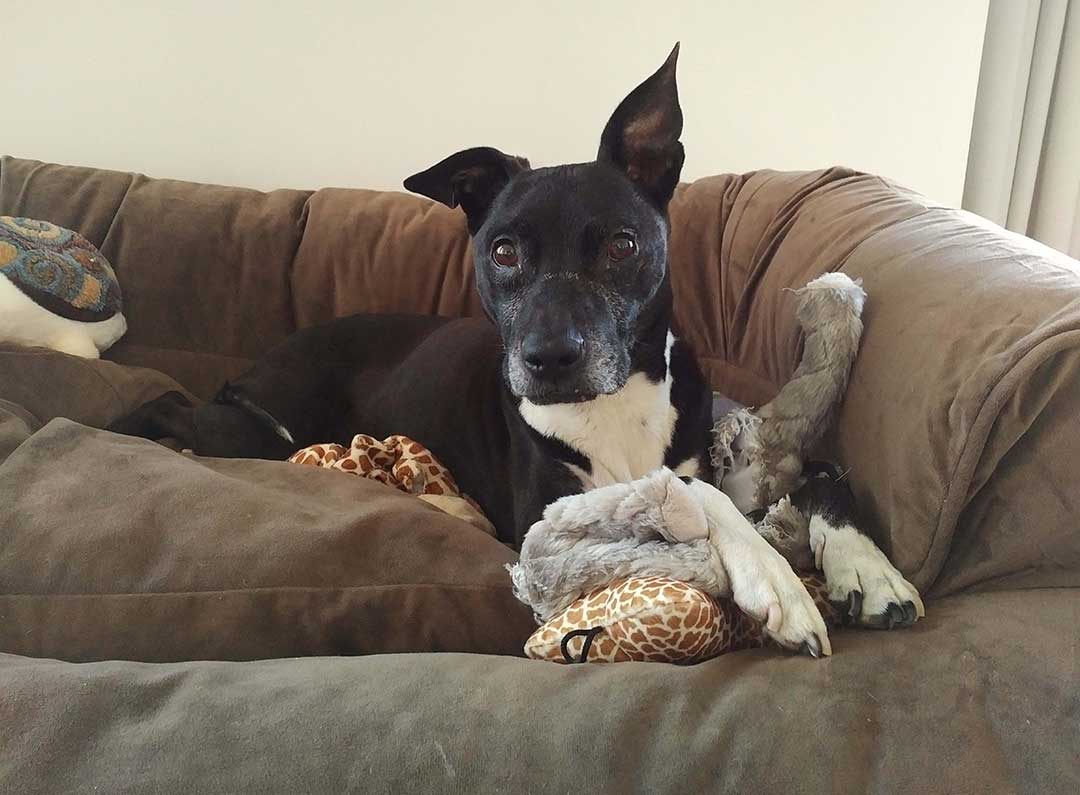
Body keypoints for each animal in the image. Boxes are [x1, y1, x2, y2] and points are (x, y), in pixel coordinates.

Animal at [111, 45, 920, 639]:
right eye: (502, 251)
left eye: (622, 244)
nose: (548, 359)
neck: (611, 403)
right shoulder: (550, 510)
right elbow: (683, 490)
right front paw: (777, 583)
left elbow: (812, 471)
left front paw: (868, 569)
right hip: (254, 424)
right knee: (183, 417)